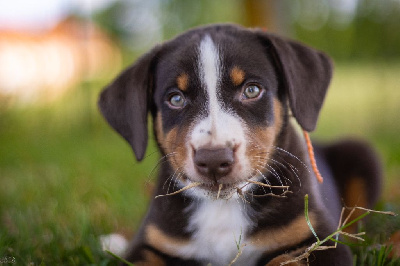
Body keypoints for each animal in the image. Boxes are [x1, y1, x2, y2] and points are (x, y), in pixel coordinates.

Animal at [97, 23, 382, 264]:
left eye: (252, 90)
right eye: (175, 99)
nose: (213, 159)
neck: (223, 206)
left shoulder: (318, 242)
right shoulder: (149, 244)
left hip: (362, 154)